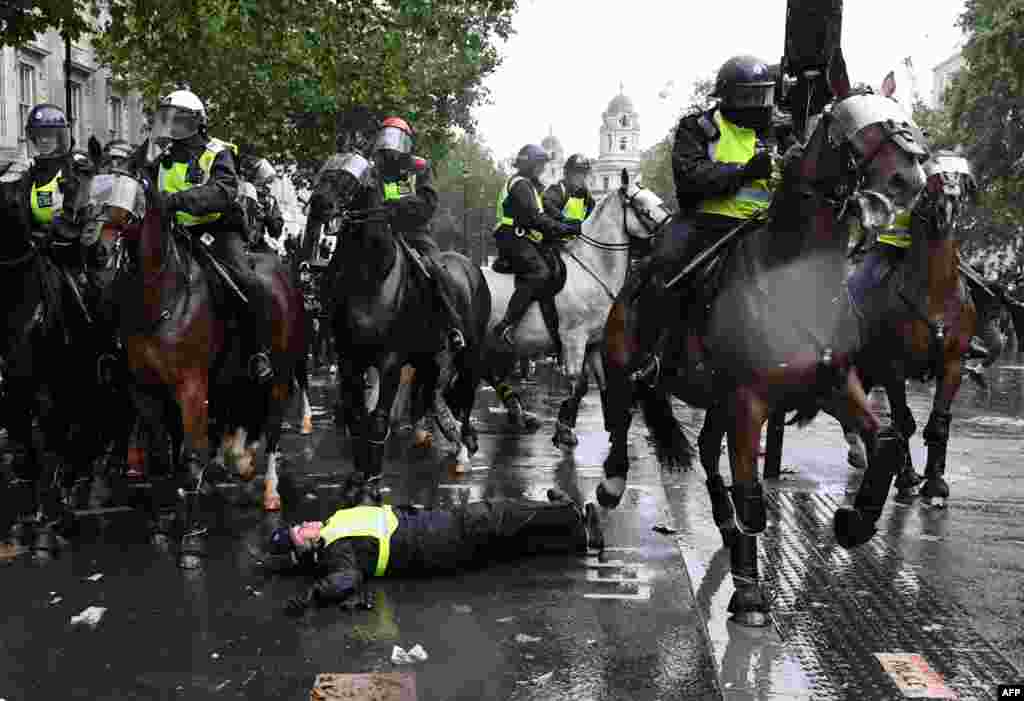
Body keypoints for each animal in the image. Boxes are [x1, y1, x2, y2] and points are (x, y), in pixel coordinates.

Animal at [79, 138, 307, 519]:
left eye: (131, 194)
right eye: (93, 189)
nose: (97, 251)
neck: (162, 295)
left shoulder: (190, 385)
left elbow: (192, 453)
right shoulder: (145, 388)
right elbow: (162, 451)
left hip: (279, 373)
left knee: (272, 427)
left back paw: (270, 490)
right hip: (232, 378)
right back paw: (240, 459)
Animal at [305, 150, 489, 472]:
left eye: (351, 177)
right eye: (326, 169)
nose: (319, 204)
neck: (370, 275)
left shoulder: (390, 360)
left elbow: (378, 418)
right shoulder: (349, 357)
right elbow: (358, 417)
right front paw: (361, 475)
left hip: (469, 353)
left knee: (465, 396)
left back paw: (464, 446)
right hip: (429, 358)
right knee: (431, 395)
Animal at [479, 173, 663, 448]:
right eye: (642, 207)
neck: (593, 268)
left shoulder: (594, 342)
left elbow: (601, 382)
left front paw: (613, 424)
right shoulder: (573, 339)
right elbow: (579, 385)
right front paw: (564, 430)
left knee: (488, 371)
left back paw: (518, 412)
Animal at [598, 65, 929, 626]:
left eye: (901, 116)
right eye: (850, 125)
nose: (910, 178)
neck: (792, 275)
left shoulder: (832, 385)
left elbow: (885, 438)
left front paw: (854, 522)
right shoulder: (750, 402)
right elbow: (753, 494)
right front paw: (751, 595)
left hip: (714, 401)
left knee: (707, 455)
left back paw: (725, 527)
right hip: (623, 364)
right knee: (621, 420)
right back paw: (613, 485)